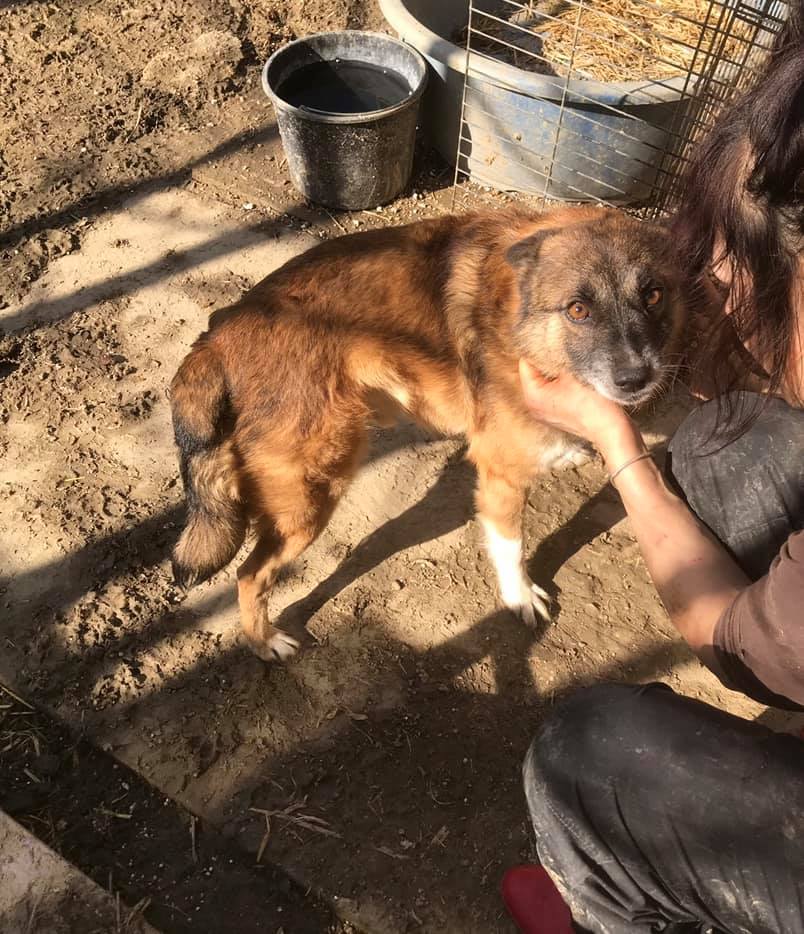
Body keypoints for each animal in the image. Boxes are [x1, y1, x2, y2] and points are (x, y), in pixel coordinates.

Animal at [170, 207, 684, 660]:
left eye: (654, 296)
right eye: (578, 309)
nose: (637, 379)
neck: (514, 308)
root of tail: (219, 335)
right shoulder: (500, 472)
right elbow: (511, 545)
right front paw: (518, 596)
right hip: (310, 497)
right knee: (249, 575)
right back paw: (264, 642)